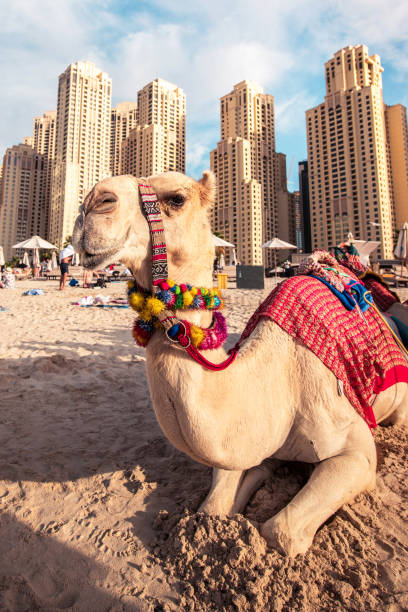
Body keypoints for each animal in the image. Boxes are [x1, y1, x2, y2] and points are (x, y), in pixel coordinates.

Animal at [73, 170, 408, 556]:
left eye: (176, 198)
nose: (93, 203)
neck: (281, 383)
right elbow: (215, 505)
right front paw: (255, 479)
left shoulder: (355, 450)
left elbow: (280, 531)